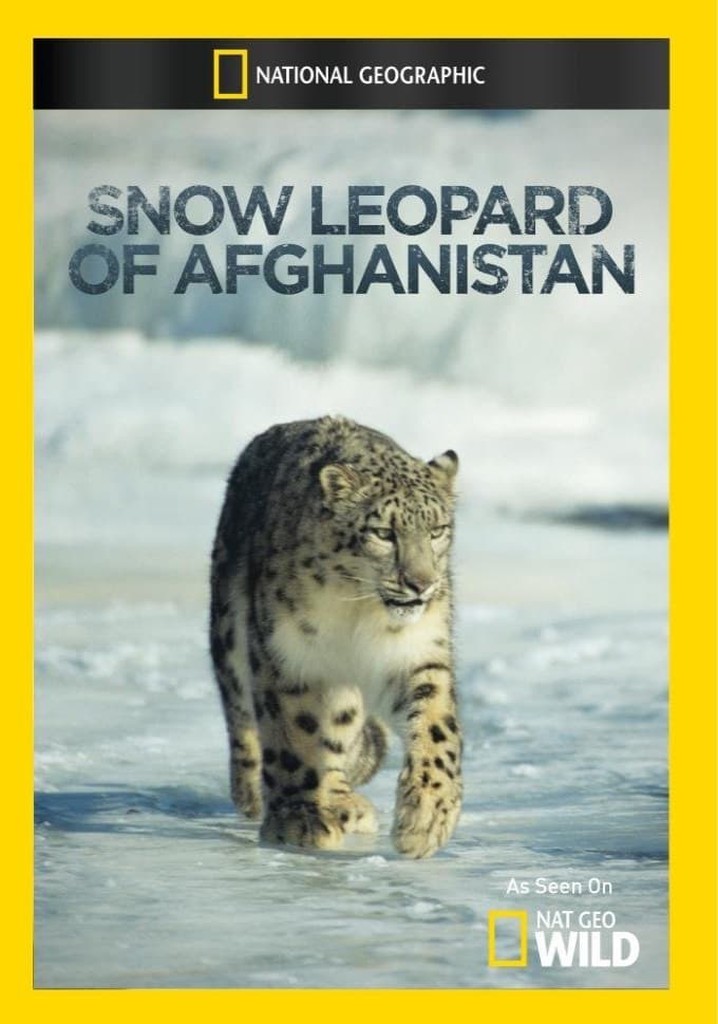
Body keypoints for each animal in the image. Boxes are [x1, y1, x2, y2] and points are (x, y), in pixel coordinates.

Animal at [209, 415, 462, 858]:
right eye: (383, 532)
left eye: (437, 530)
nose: (421, 584)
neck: (360, 613)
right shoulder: (288, 658)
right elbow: (294, 735)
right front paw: (298, 819)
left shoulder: (418, 652)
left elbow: (436, 727)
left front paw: (426, 818)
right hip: (229, 634)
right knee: (244, 724)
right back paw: (260, 794)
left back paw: (345, 801)